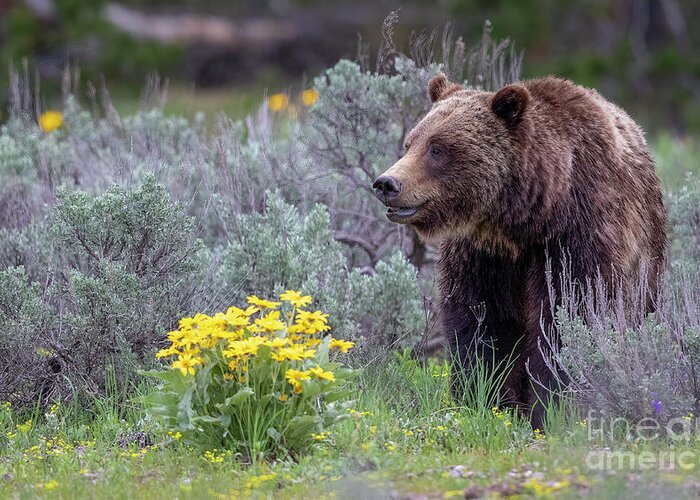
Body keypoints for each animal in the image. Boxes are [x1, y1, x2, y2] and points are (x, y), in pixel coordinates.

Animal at [374, 73, 664, 426]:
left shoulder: (577, 239)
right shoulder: (482, 255)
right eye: (409, 143)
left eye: (437, 148)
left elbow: (567, 316)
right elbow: (481, 324)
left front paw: (551, 406)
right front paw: (486, 400)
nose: (387, 183)